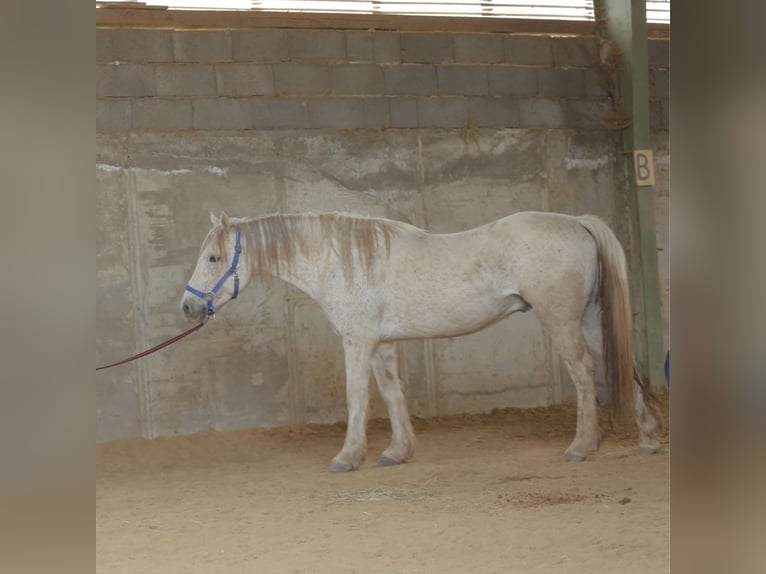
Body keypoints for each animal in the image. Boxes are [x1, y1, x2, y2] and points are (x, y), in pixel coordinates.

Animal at [180, 212, 660, 472]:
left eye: (214, 257)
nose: (188, 306)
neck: (344, 261)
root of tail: (578, 222)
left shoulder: (357, 341)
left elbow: (357, 397)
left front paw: (348, 457)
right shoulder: (381, 343)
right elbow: (393, 394)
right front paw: (397, 452)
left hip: (561, 321)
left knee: (583, 372)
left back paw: (582, 446)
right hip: (593, 320)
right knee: (623, 366)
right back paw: (649, 437)